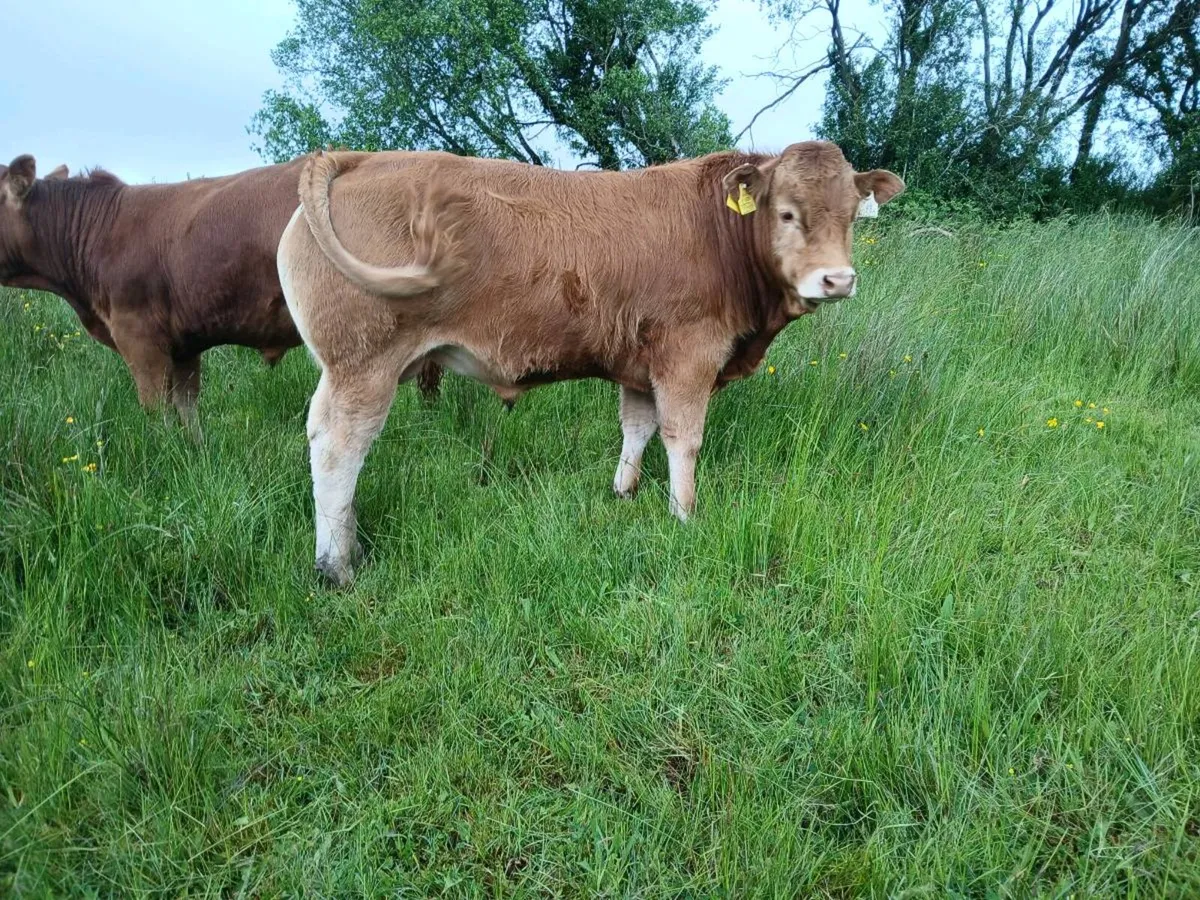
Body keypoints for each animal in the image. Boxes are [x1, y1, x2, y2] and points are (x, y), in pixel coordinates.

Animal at [277, 141, 904, 585]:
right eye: (788, 214)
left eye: (853, 214)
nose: (837, 279)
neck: (718, 233)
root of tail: (358, 158)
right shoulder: (688, 354)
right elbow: (683, 437)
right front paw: (684, 514)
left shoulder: (641, 363)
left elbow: (638, 427)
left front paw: (624, 493)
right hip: (362, 364)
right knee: (338, 446)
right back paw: (338, 565)